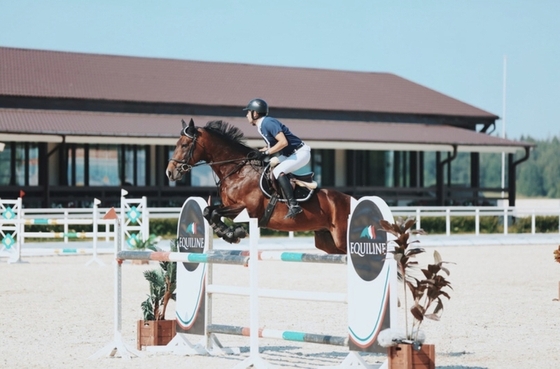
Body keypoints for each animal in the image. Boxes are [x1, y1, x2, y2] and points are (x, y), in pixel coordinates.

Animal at [164, 118, 352, 253]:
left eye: (184, 145)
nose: (170, 173)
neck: (237, 171)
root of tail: (350, 199)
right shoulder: (228, 205)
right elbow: (208, 211)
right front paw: (227, 233)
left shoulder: (248, 209)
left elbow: (215, 212)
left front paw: (233, 234)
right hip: (327, 242)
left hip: (341, 239)